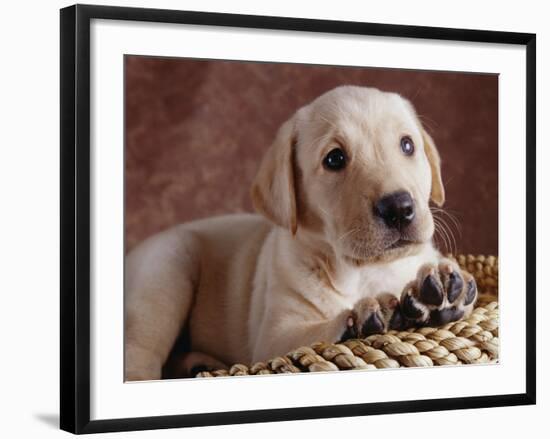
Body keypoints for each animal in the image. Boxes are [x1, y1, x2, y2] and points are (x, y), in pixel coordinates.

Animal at [125, 86, 478, 382]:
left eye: (407, 145)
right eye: (334, 159)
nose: (399, 207)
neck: (366, 272)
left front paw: (442, 290)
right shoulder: (273, 337)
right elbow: (313, 335)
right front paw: (359, 319)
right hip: (166, 271)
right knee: (139, 354)